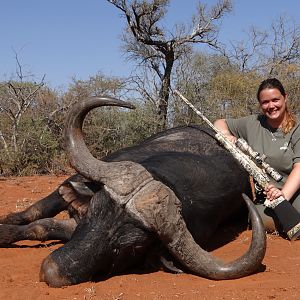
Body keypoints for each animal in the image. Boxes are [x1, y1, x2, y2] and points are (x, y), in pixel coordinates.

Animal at [0, 97, 268, 288]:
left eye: (130, 248)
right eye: (91, 217)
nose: (51, 272)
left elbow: (44, 227)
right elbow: (40, 223)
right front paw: (5, 230)